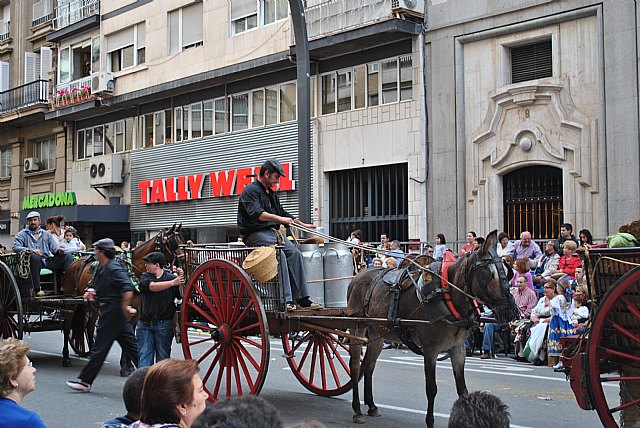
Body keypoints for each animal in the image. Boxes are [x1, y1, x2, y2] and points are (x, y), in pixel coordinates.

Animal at [60, 224, 186, 368]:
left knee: (89, 326)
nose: (183, 262)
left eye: (183, 241)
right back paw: (66, 358)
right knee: (67, 326)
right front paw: (126, 364)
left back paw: (92, 353)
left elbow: (130, 333)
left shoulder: (136, 310)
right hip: (70, 301)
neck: (132, 270)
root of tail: (73, 264)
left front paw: (127, 364)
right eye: (173, 243)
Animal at [344, 232, 520, 426]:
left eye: (508, 272)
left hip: (377, 331)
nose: (511, 310)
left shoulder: (457, 349)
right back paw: (357, 409)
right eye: (489, 274)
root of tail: (357, 277)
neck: (447, 296)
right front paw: (430, 421)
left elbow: (462, 389)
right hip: (357, 326)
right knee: (355, 365)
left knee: (369, 365)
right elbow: (431, 388)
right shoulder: (430, 349)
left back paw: (371, 405)